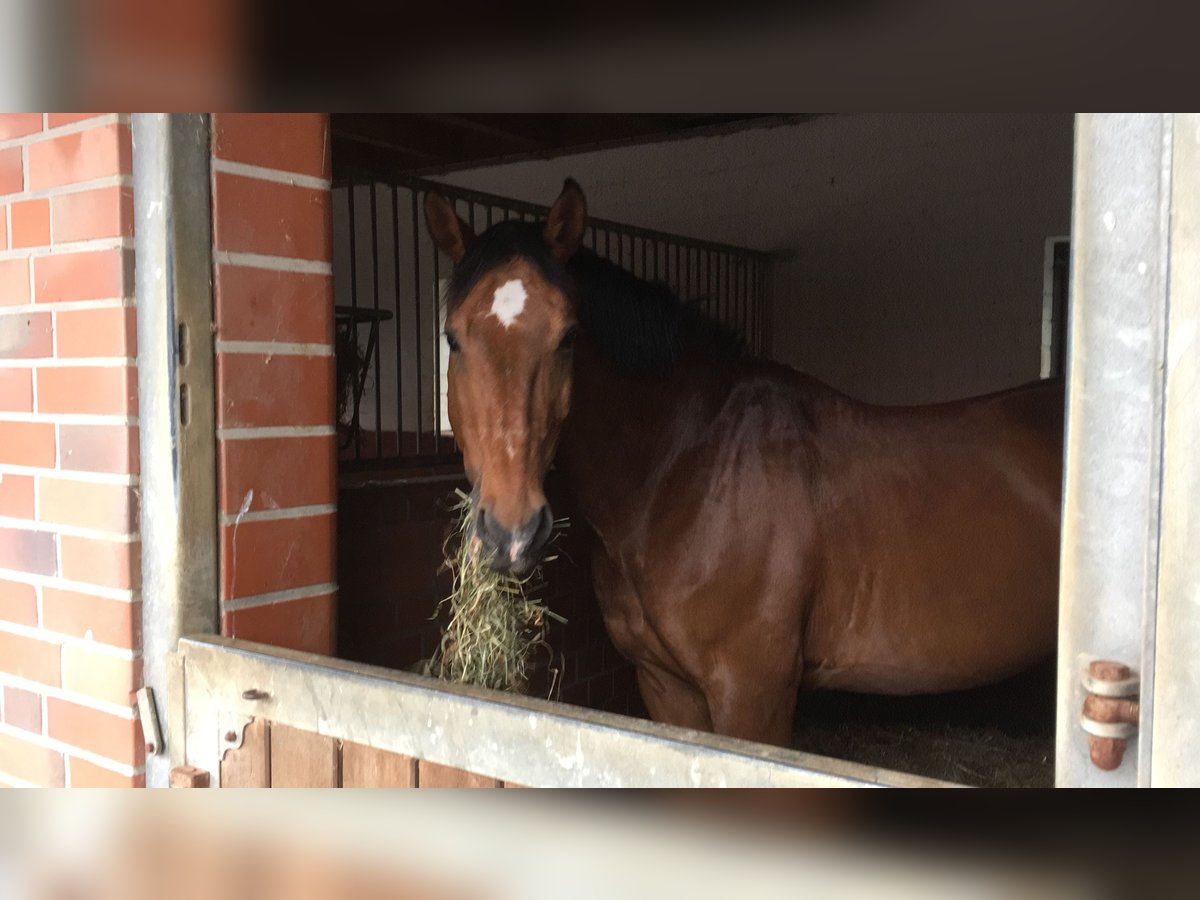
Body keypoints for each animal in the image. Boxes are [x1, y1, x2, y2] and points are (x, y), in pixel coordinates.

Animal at [422, 180, 1060, 748]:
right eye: (452, 337)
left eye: (568, 336)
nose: (511, 533)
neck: (686, 468)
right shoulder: (666, 686)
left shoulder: (754, 693)